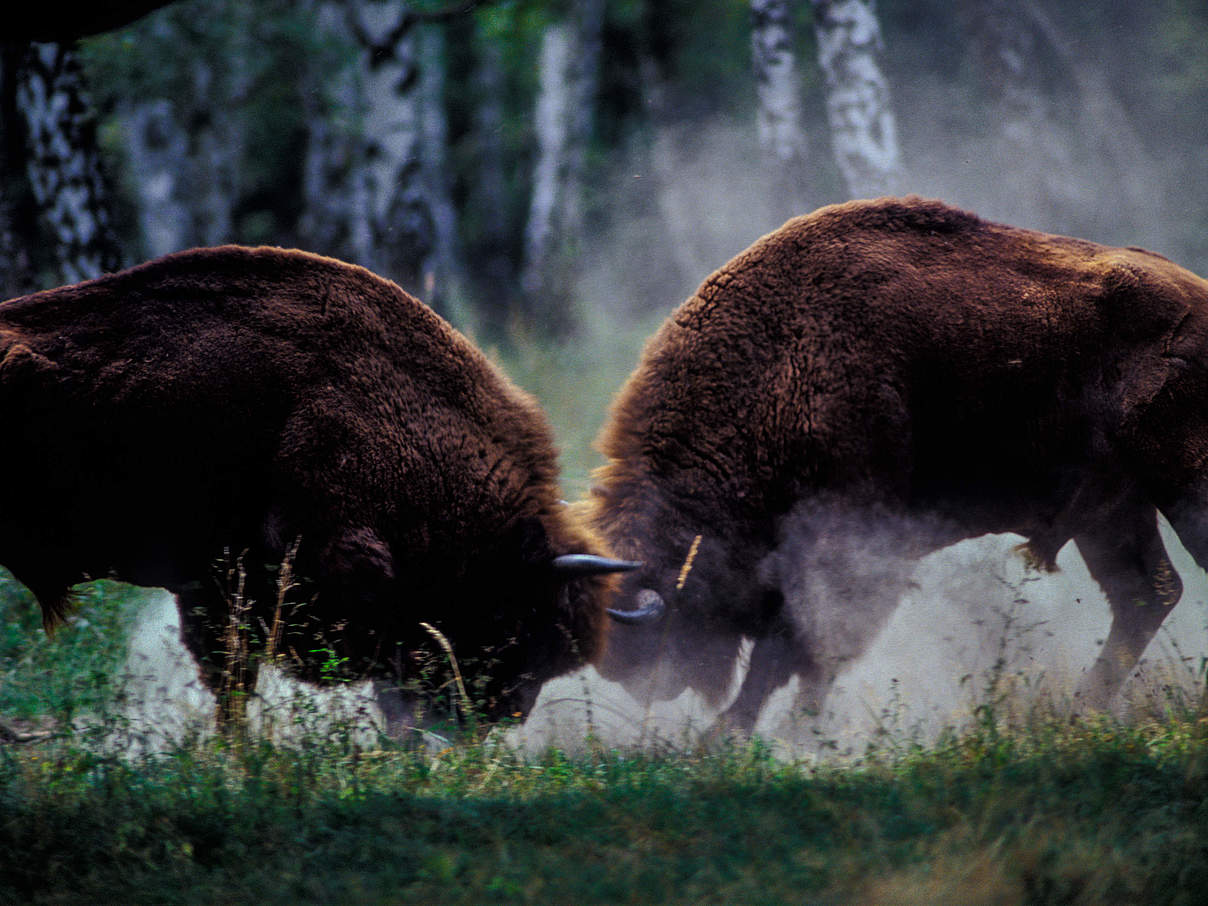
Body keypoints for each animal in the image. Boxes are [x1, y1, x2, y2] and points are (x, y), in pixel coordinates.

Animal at [589, 198, 1208, 739]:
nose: (649, 688)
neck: (776, 367)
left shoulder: (849, 550)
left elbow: (797, 648)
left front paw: (737, 738)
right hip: (1112, 511)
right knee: (1147, 594)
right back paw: (1080, 710)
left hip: (1179, 489)